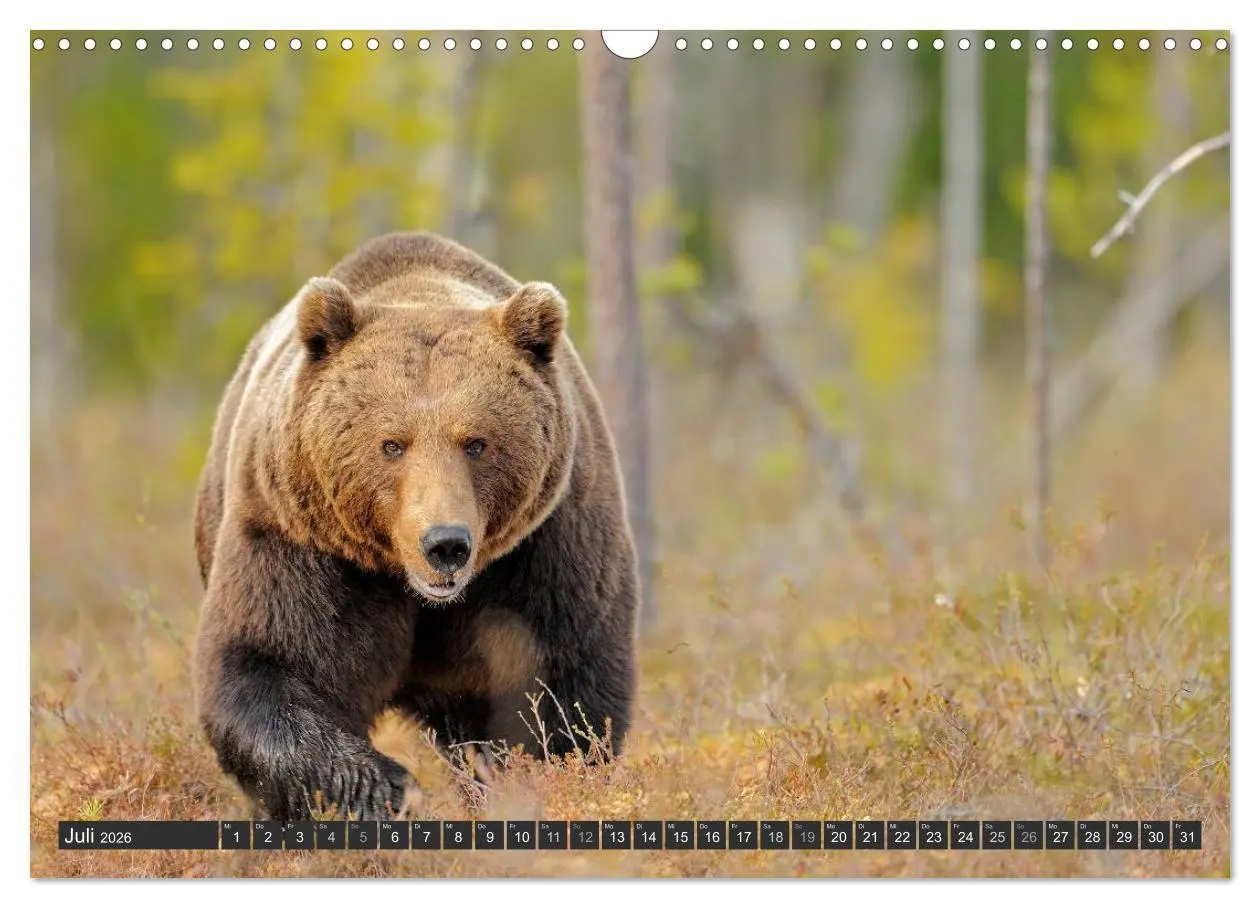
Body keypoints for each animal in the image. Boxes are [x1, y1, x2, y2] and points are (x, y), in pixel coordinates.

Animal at [192, 232, 640, 822]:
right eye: (391, 444)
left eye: (477, 442)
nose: (444, 544)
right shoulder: (302, 539)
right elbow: (270, 662)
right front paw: (385, 788)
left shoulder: (545, 545)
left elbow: (560, 687)